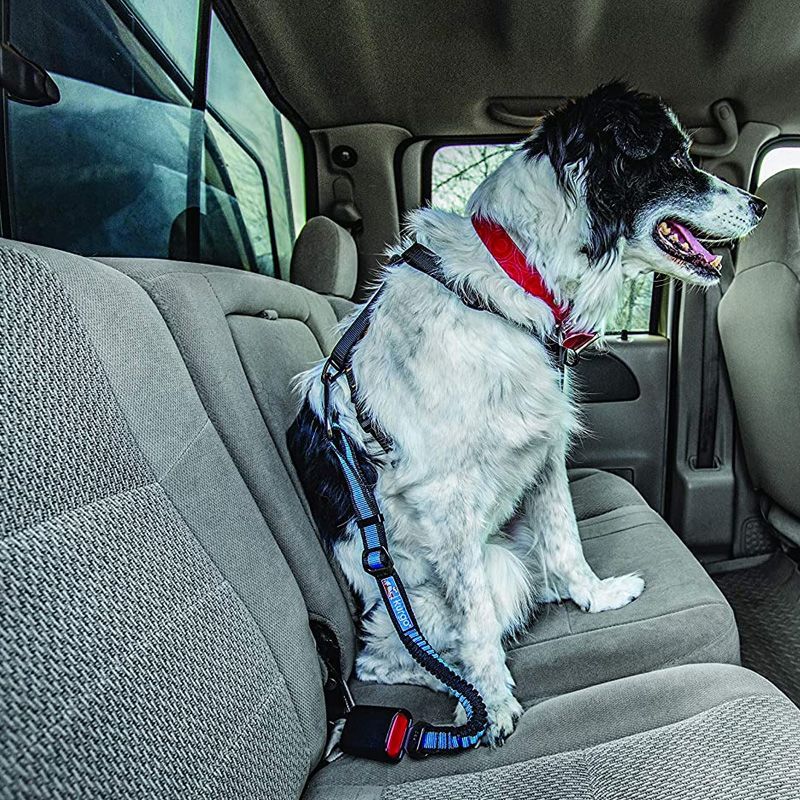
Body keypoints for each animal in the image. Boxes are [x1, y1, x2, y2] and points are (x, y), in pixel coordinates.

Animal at [290, 83, 764, 744]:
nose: (762, 204)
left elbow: (566, 540)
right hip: (466, 578)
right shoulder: (446, 501)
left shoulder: (542, 452)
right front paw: (491, 703)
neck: (513, 281)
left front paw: (597, 598)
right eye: (673, 160)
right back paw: (454, 690)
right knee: (391, 660)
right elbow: (476, 623)